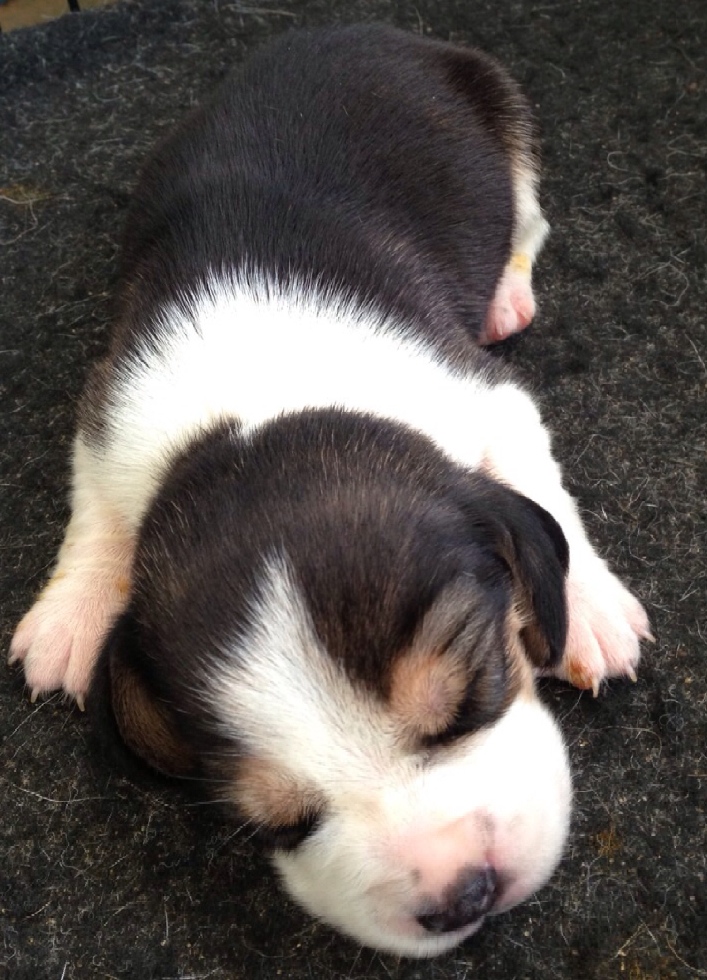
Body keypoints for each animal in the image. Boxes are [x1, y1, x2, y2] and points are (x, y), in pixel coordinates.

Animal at [9, 25, 652, 957]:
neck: (260, 414)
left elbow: (542, 487)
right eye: (279, 822)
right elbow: (93, 509)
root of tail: (351, 28)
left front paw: (591, 612)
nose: (462, 893)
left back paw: (506, 292)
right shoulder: (106, 414)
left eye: (469, 697)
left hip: (508, 121)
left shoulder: (490, 397)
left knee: (530, 218)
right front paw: (72, 612)